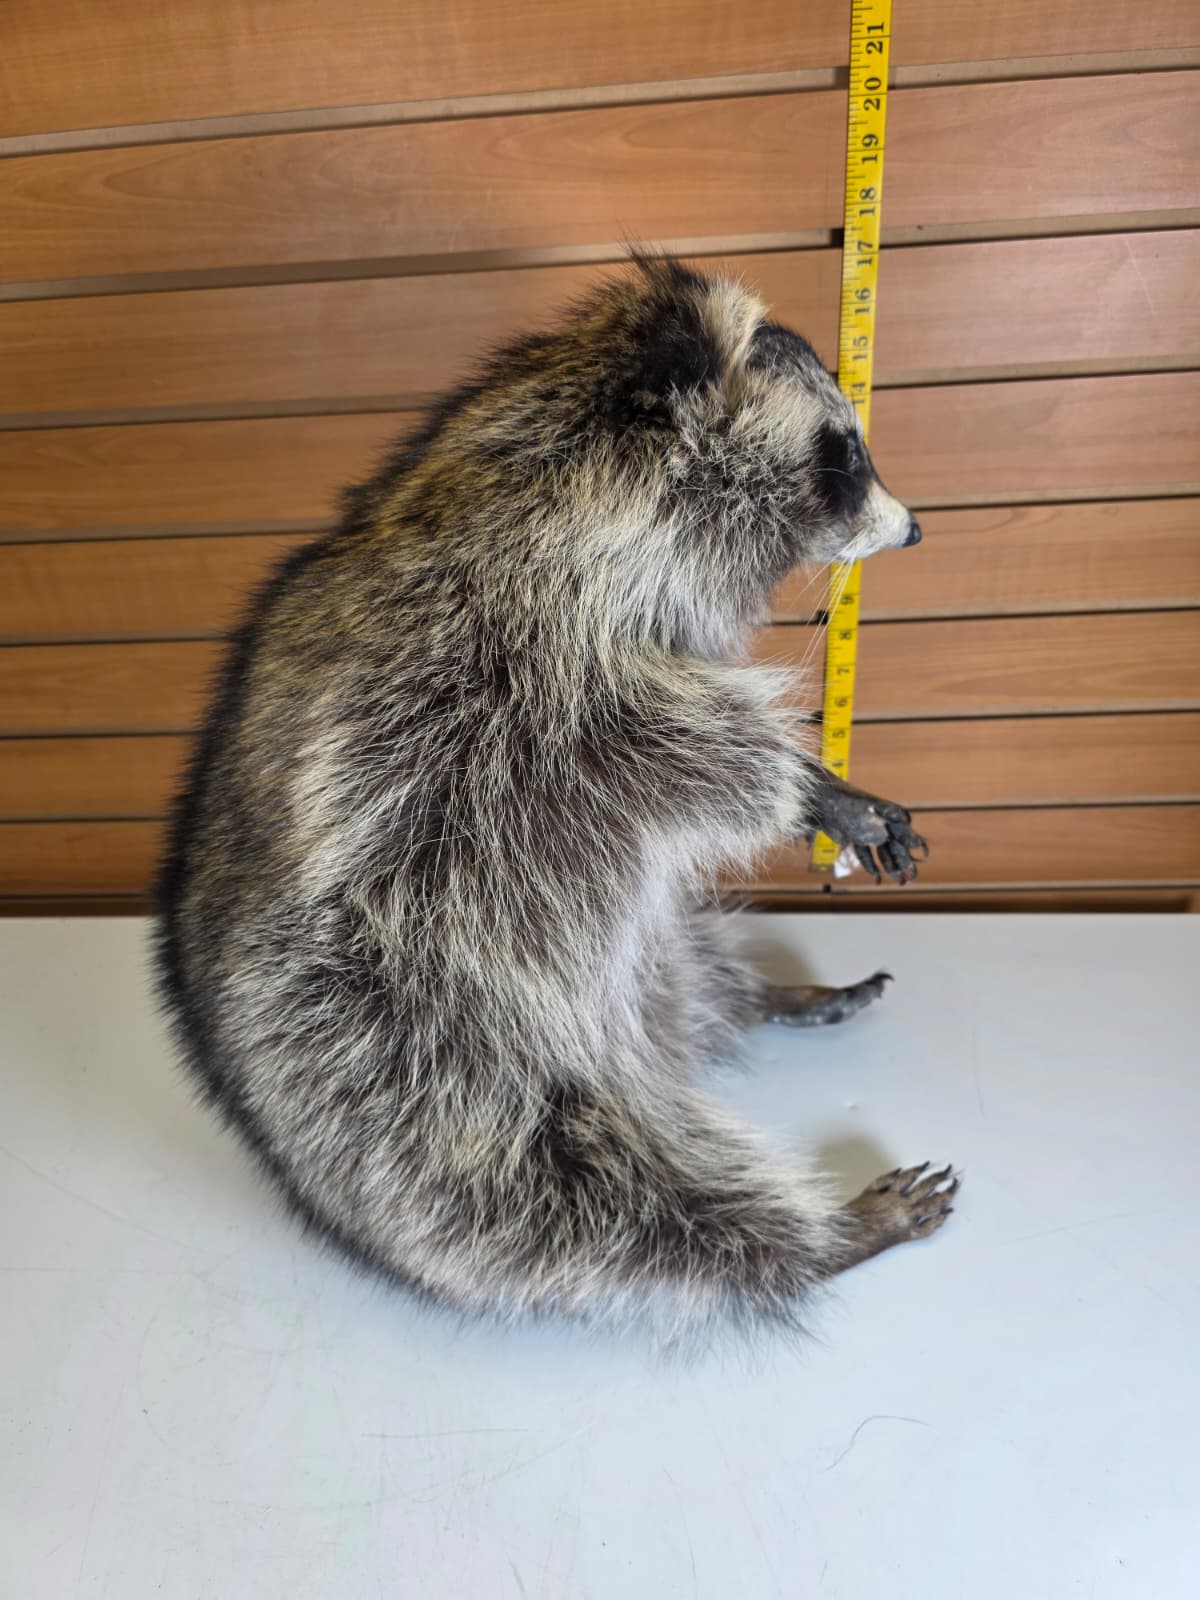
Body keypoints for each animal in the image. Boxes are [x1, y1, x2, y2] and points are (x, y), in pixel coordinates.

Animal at [155, 257, 957, 1339]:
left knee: (690, 967)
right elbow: (680, 745)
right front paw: (811, 791)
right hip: (403, 1067)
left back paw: (765, 997)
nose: (914, 528)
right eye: (847, 453)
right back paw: (814, 1236)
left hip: (625, 975)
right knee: (590, 1199)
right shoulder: (515, 662)